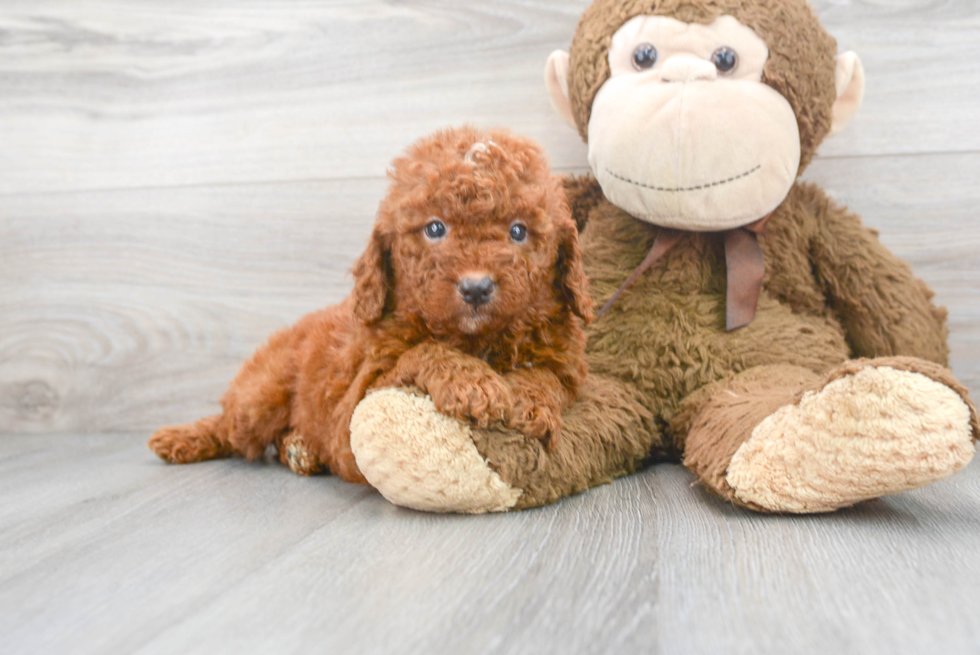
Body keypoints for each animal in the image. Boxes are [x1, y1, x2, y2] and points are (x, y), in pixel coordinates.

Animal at [149, 128, 592, 484]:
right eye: (435, 228)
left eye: (518, 231)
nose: (476, 287)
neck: (476, 339)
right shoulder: (350, 415)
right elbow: (423, 350)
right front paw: (472, 384)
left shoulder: (566, 365)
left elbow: (547, 375)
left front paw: (528, 400)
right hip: (262, 394)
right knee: (231, 426)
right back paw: (183, 438)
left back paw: (299, 449)